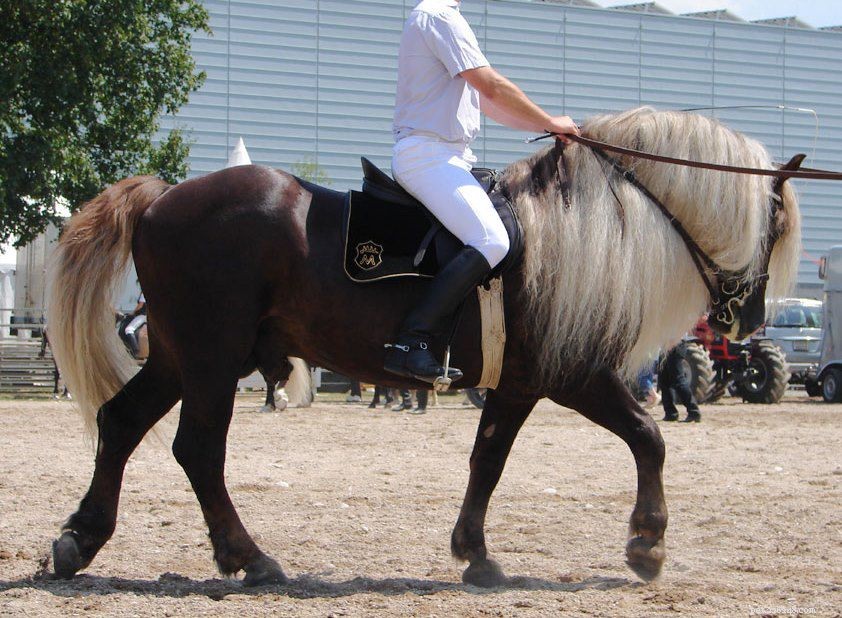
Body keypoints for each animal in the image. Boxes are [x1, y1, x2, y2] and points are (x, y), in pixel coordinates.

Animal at [46, 107, 802, 587]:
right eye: (776, 219)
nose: (748, 318)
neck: (582, 230)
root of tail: (161, 199)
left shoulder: (519, 381)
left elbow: (488, 460)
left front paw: (476, 554)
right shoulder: (570, 374)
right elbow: (648, 437)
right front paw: (647, 544)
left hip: (181, 357)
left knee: (121, 424)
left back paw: (80, 541)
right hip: (211, 358)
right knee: (198, 450)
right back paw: (249, 559)